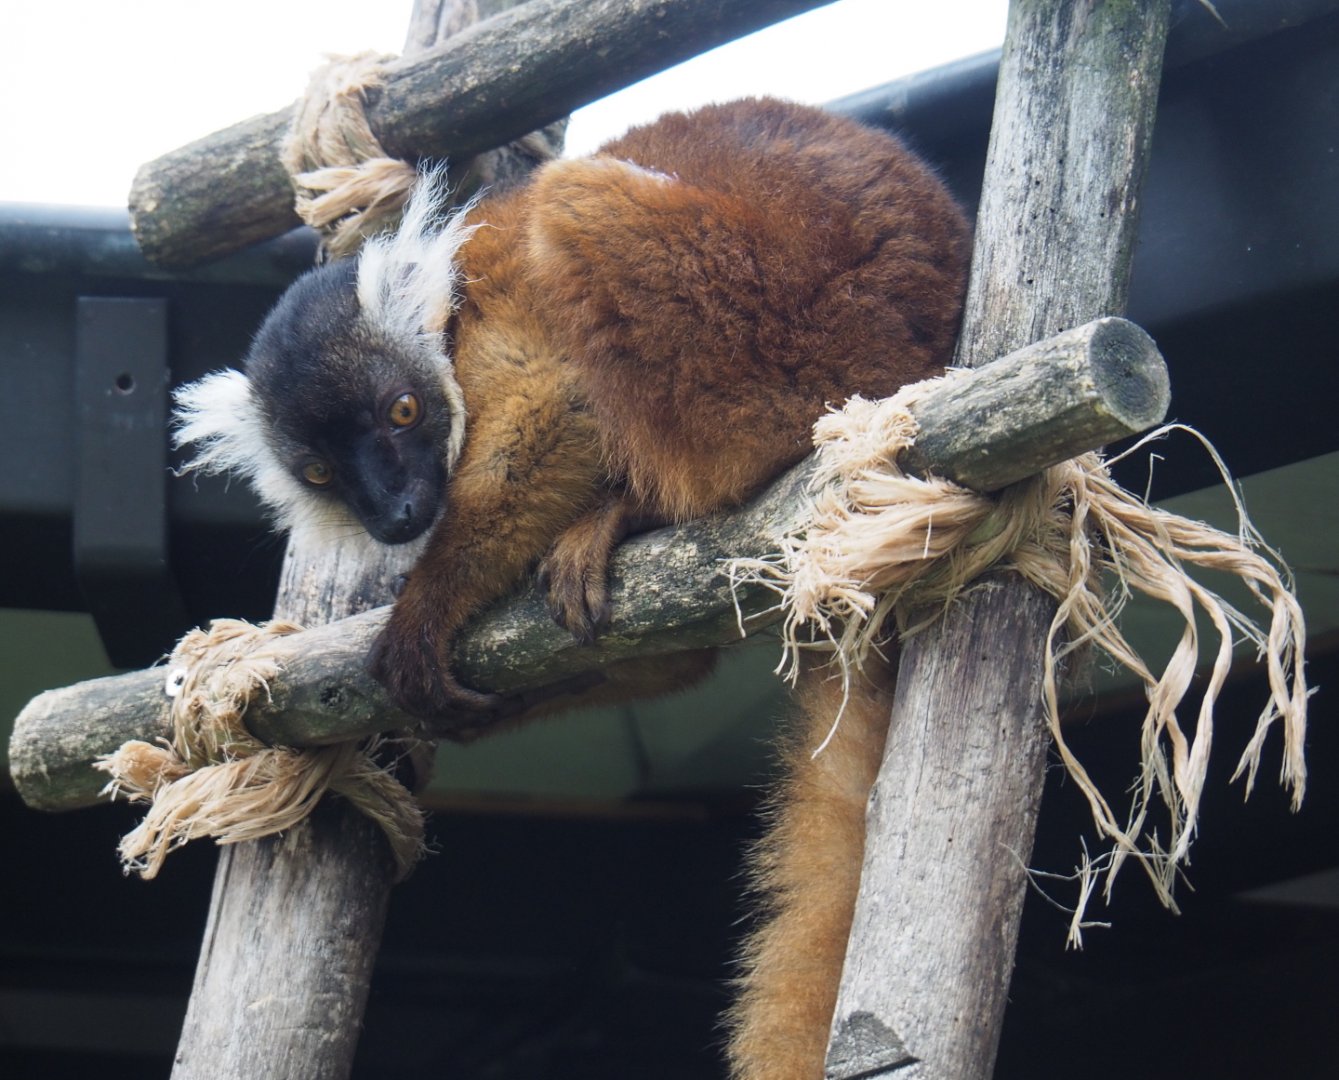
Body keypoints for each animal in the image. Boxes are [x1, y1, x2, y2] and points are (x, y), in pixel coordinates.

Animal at [175, 97, 970, 1079]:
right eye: (321, 471)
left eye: (402, 412)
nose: (398, 511)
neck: (448, 325)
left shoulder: (503, 309)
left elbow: (556, 402)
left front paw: (429, 603)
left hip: (789, 345)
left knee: (579, 207)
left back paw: (633, 508)